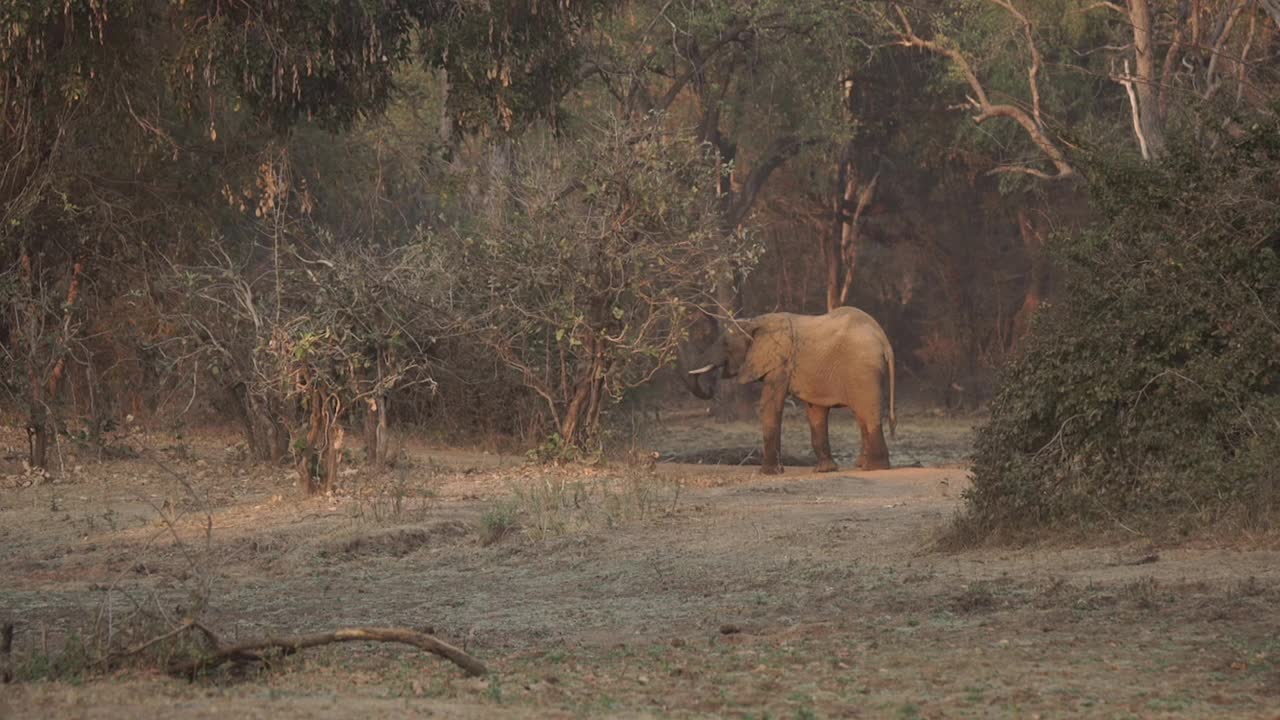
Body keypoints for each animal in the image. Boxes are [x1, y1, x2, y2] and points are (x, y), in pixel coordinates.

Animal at [686, 304, 896, 474]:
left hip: (862, 369)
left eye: (725, 344)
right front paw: (824, 470)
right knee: (860, 413)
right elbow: (815, 411)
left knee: (868, 411)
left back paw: (873, 468)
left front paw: (768, 473)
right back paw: (862, 465)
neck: (756, 322)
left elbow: (769, 405)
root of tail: (884, 339)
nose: (711, 388)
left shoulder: (780, 362)